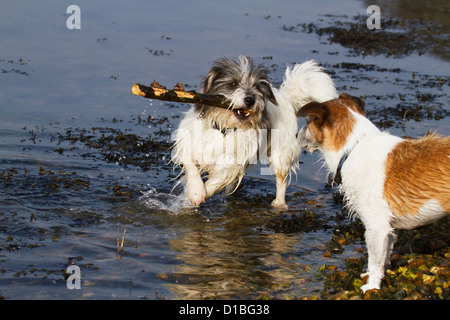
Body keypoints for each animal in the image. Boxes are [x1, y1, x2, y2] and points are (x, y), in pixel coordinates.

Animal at [172, 56, 338, 209]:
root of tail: (286, 98)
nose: (250, 100)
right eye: (233, 83)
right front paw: (195, 191)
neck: (224, 128)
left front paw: (200, 194)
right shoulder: (188, 141)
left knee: (281, 181)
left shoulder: (233, 161)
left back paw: (279, 204)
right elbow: (191, 165)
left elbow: (217, 179)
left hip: (282, 154)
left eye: (257, 87)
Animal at [298, 93, 448, 292]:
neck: (353, 146)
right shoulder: (388, 230)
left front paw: (372, 285)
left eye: (308, 121)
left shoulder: (376, 228)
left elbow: (375, 261)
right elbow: (384, 257)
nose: (295, 135)